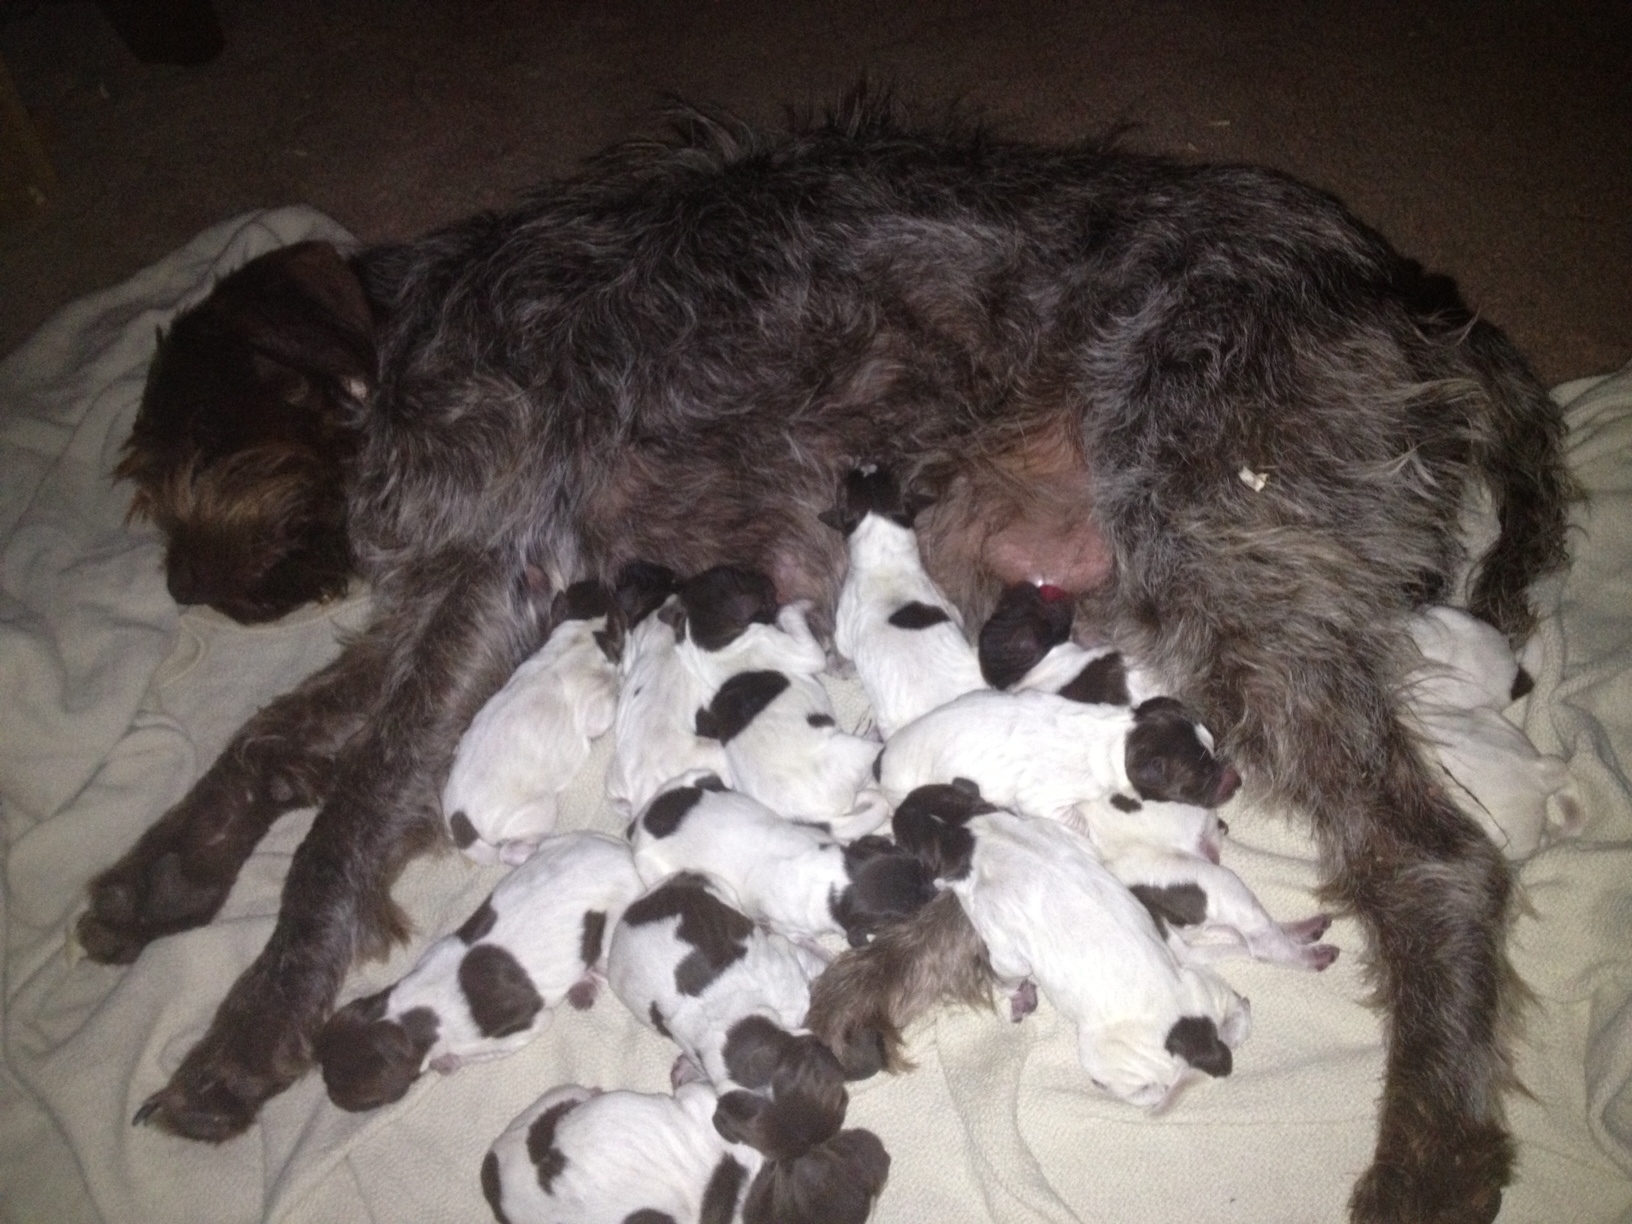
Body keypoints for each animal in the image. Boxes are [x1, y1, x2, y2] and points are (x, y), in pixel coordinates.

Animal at [310, 831, 643, 1112]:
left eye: (360, 1098)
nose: (330, 1096)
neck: (406, 1013)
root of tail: (625, 856)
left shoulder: (527, 1027)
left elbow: (475, 1053)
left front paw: (447, 1060)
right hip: (559, 844)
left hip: (610, 931)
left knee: (601, 964)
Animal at [440, 579, 622, 866]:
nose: (604, 581)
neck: (580, 635)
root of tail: (462, 825)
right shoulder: (596, 709)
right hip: (540, 811)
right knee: (507, 852)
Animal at [629, 773, 936, 948]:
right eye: (909, 914)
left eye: (920, 867)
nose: (935, 892)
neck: (836, 882)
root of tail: (640, 823)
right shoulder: (791, 929)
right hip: (655, 871)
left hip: (695, 776)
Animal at [678, 567, 889, 836]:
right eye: (742, 577)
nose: (766, 577)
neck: (709, 637)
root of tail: (820, 821)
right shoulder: (801, 651)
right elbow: (788, 614)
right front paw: (801, 604)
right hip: (851, 750)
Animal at [821, 465, 987, 735]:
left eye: (847, 484)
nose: (865, 463)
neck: (886, 558)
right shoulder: (946, 603)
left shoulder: (843, 628)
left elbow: (840, 644)